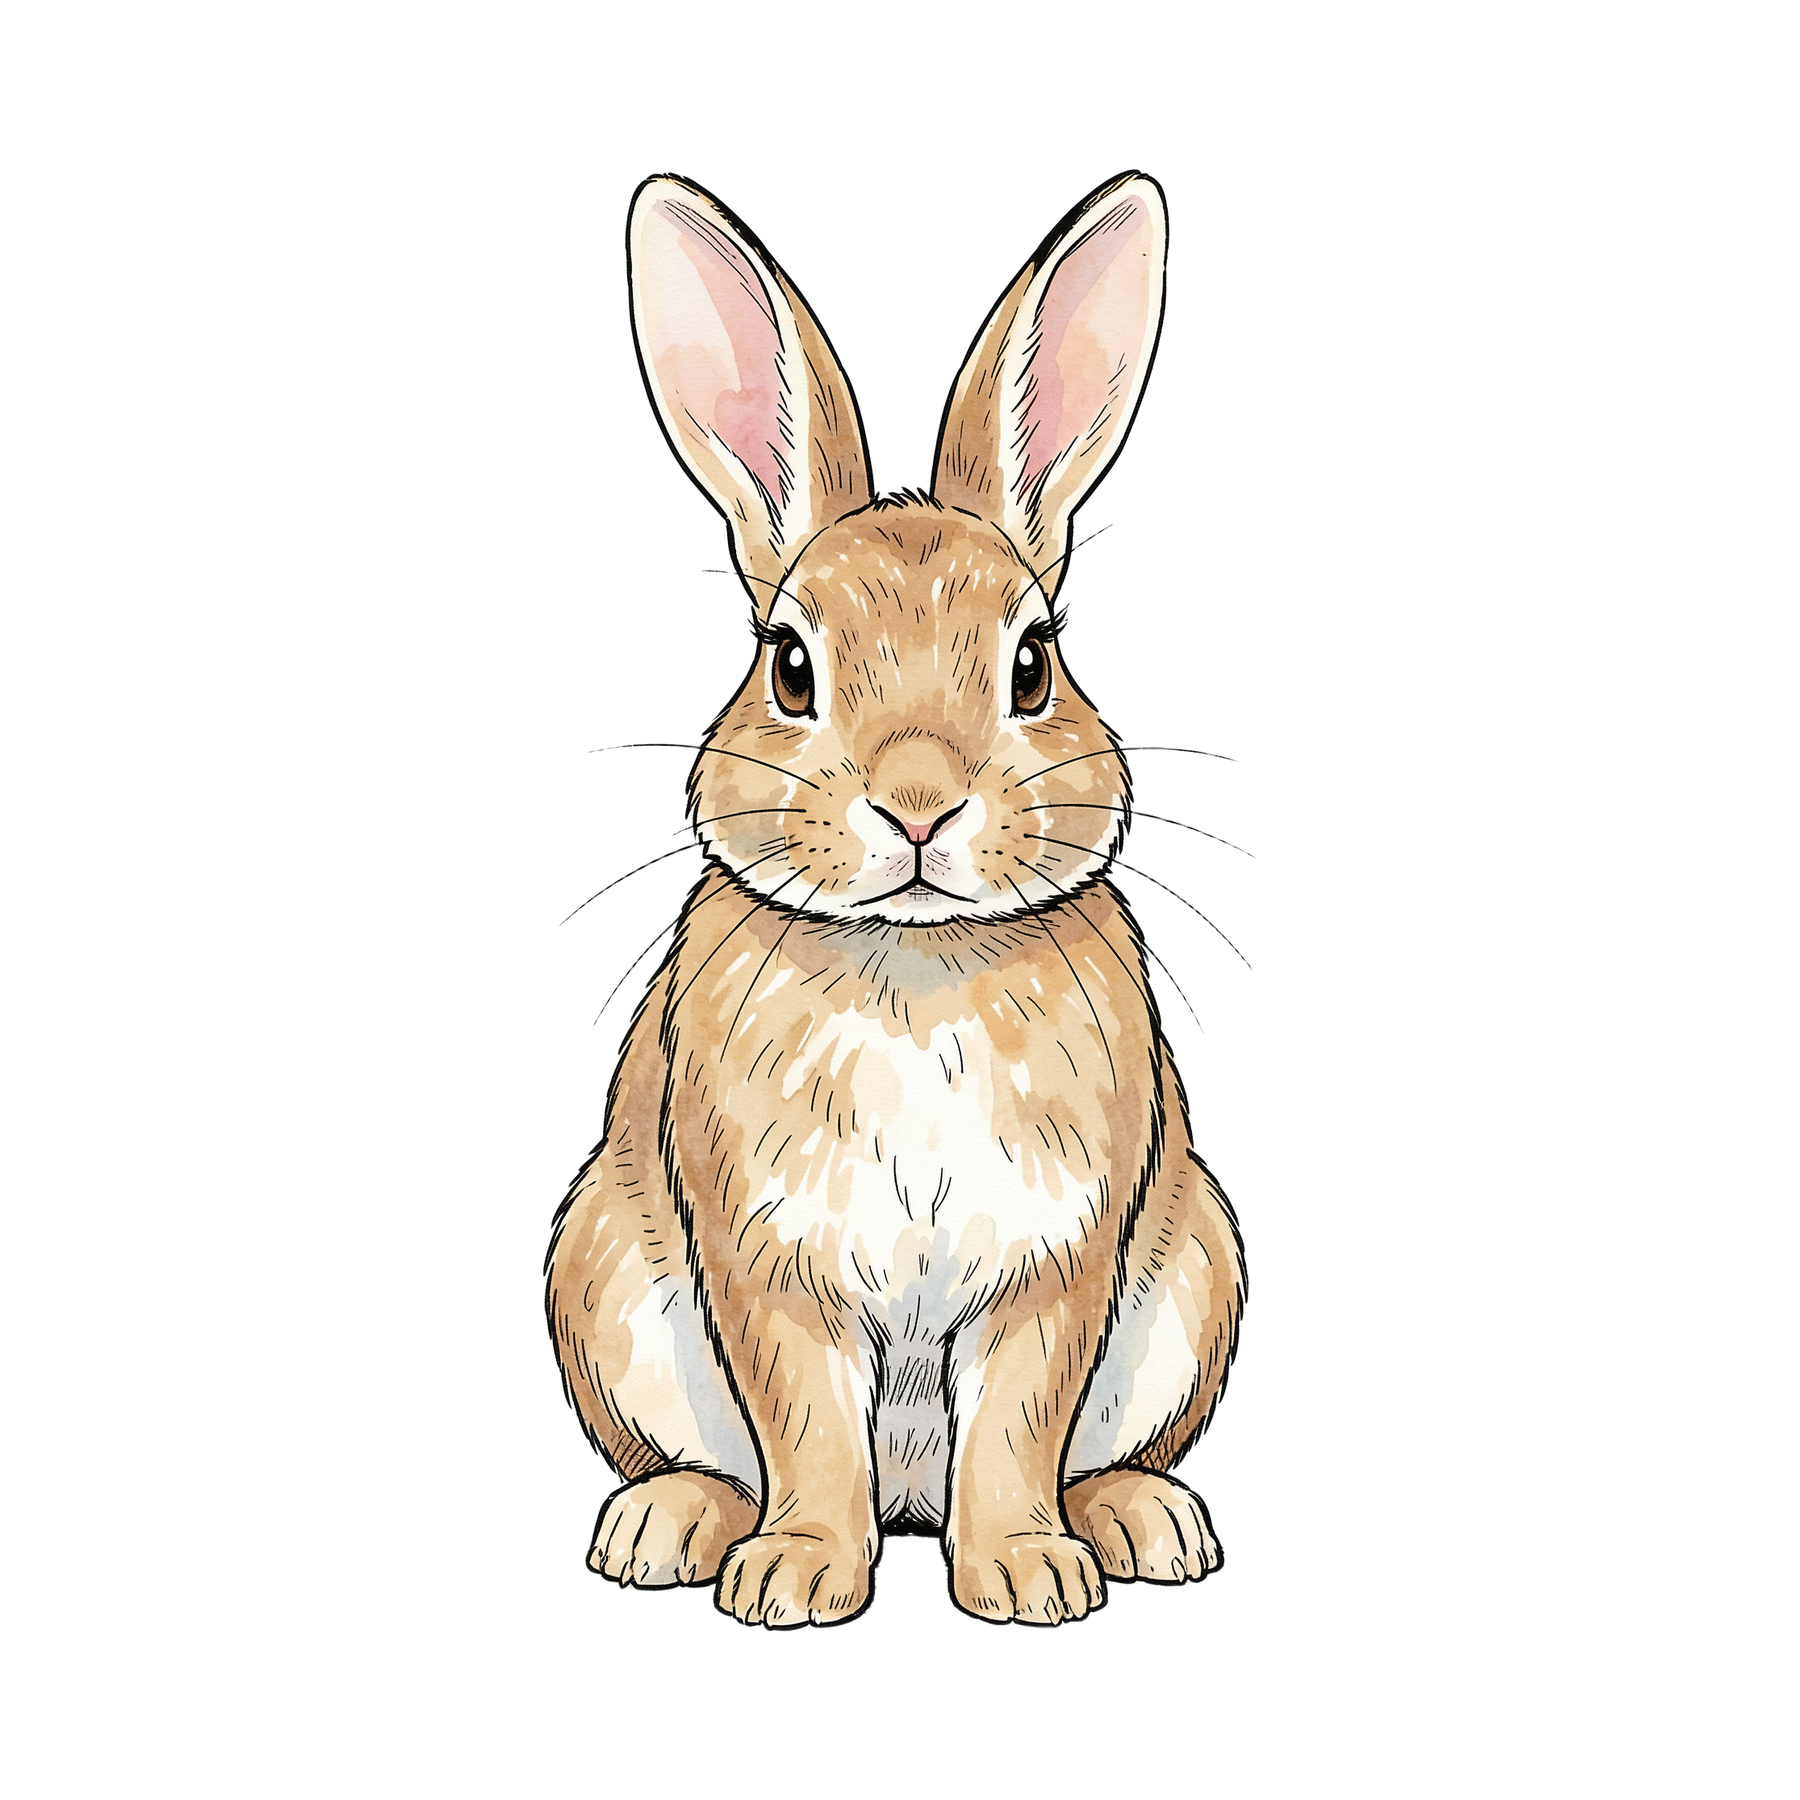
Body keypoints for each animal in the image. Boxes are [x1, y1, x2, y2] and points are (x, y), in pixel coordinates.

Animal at [545, 170, 1245, 1628]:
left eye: (1033, 664)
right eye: (789, 665)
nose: (919, 803)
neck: (912, 964)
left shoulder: (1056, 1263)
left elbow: (1021, 1422)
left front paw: (1029, 1579)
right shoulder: (769, 1264)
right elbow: (806, 1422)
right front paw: (799, 1580)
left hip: (1201, 1267)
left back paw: (1143, 1525)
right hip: (597, 1275)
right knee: (702, 1459)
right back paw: (665, 1530)